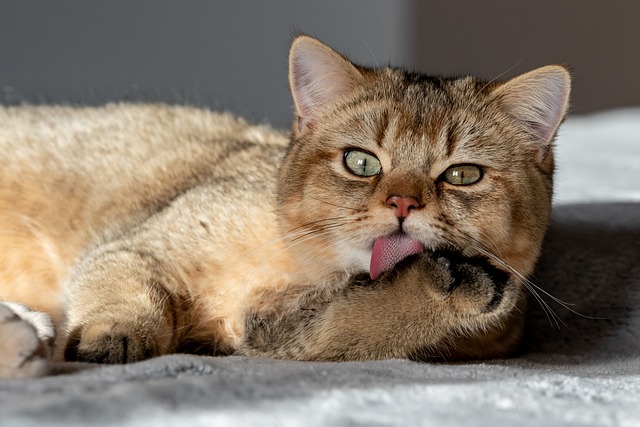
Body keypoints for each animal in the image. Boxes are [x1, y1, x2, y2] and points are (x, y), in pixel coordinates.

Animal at [0, 36, 568, 378]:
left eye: (462, 174)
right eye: (361, 162)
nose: (403, 201)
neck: (306, 271)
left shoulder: (277, 335)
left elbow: (365, 324)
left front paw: (454, 287)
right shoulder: (140, 250)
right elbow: (130, 294)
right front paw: (111, 337)